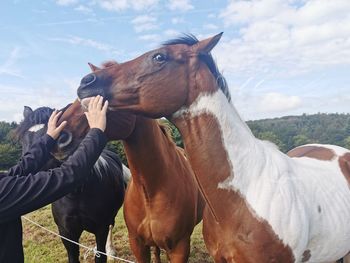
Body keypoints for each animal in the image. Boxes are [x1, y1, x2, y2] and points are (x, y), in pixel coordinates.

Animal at [15, 105, 129, 263]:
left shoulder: (101, 228)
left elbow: (101, 256)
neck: (77, 194)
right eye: (22, 140)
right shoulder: (67, 233)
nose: (25, 175)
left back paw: (111, 250)